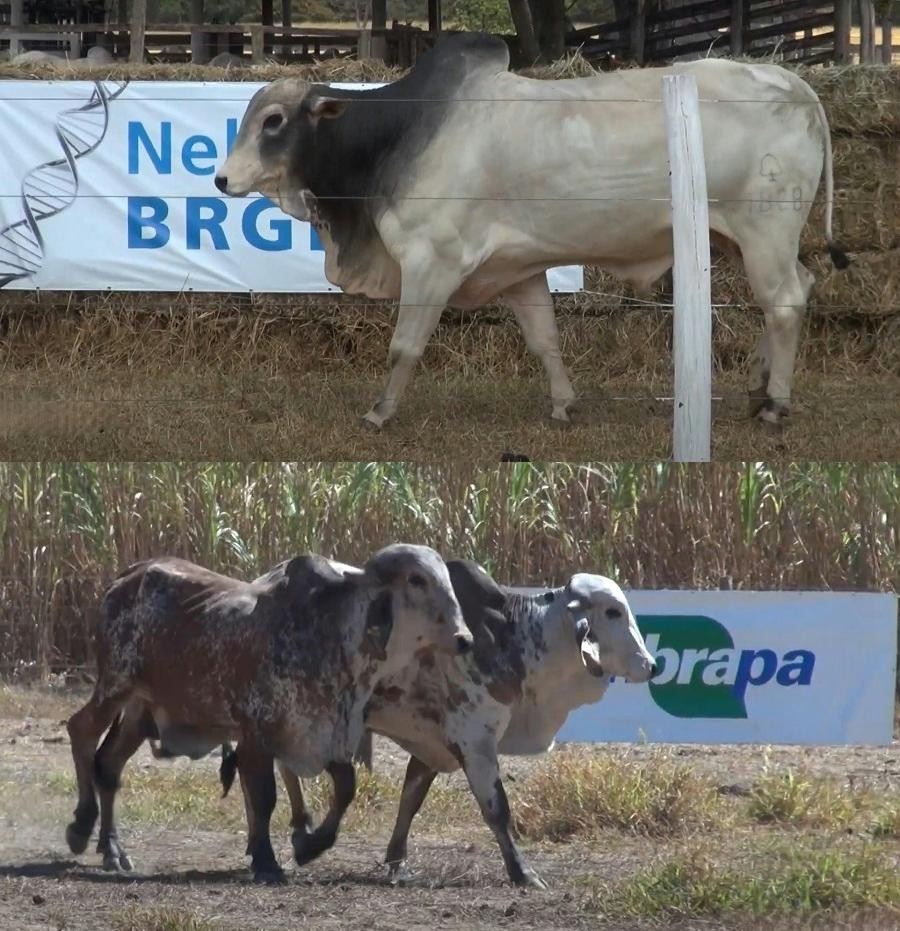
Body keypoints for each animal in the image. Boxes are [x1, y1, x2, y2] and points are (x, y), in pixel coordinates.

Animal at [63, 548, 472, 880]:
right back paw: (82, 827)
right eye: (417, 580)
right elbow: (263, 798)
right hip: (115, 685)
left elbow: (345, 788)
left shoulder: (321, 735)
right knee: (81, 729)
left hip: (139, 708)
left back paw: (112, 849)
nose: (464, 639)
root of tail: (129, 575)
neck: (329, 631)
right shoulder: (257, 735)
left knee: (109, 763)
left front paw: (309, 846)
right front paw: (266, 861)